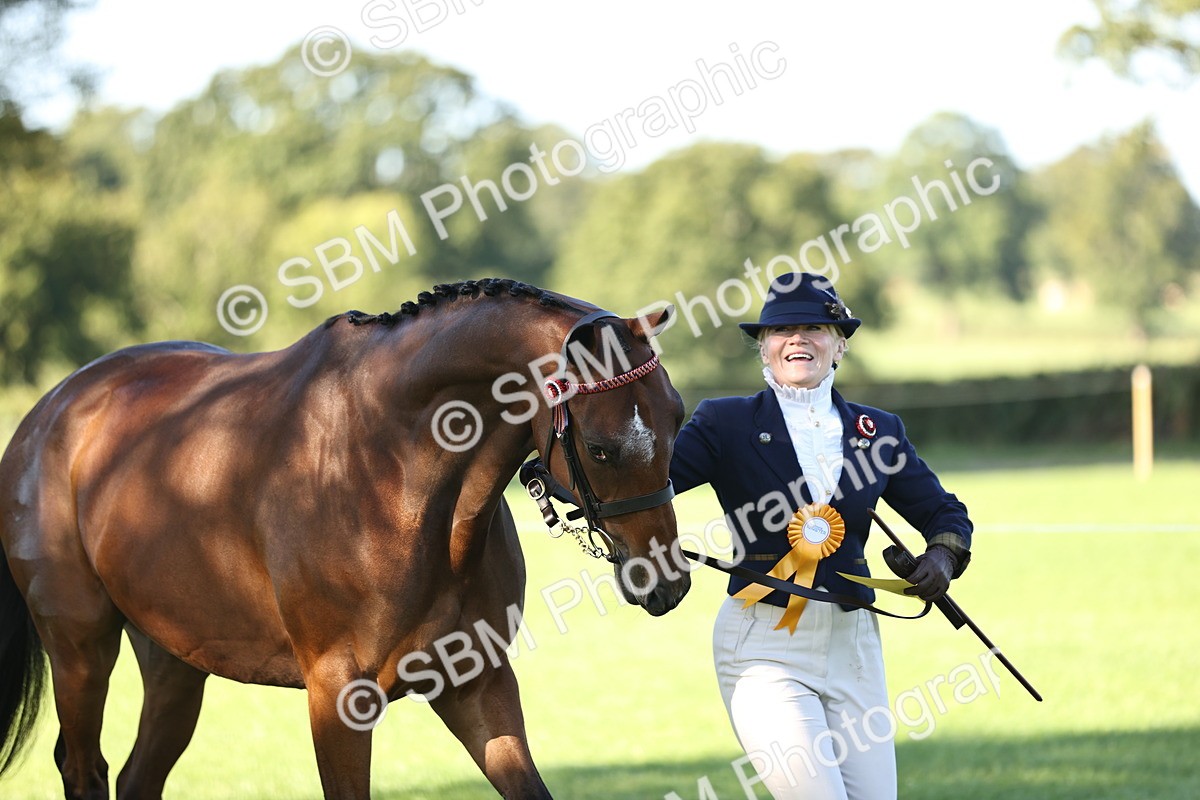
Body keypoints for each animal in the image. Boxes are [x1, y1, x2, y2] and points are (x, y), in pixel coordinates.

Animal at [0, 278, 690, 799]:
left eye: (678, 417)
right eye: (600, 448)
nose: (668, 582)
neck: (392, 474)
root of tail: (49, 411)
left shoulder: (477, 683)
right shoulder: (338, 699)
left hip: (175, 663)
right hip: (81, 648)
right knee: (84, 767)